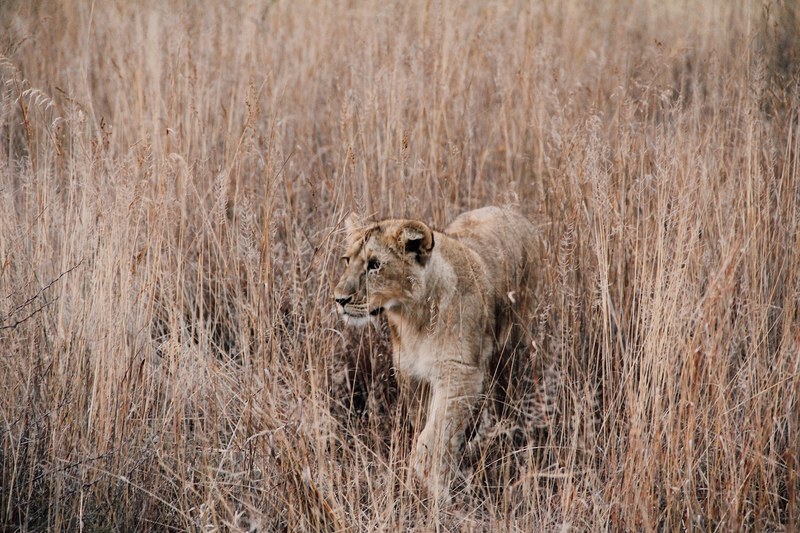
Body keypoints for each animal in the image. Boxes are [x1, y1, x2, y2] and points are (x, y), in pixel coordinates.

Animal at [333, 206, 537, 499]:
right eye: (347, 260)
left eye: (374, 265)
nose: (339, 299)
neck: (412, 317)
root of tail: (507, 208)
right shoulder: (410, 374)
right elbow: (424, 423)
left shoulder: (460, 373)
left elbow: (436, 432)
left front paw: (432, 481)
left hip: (517, 336)